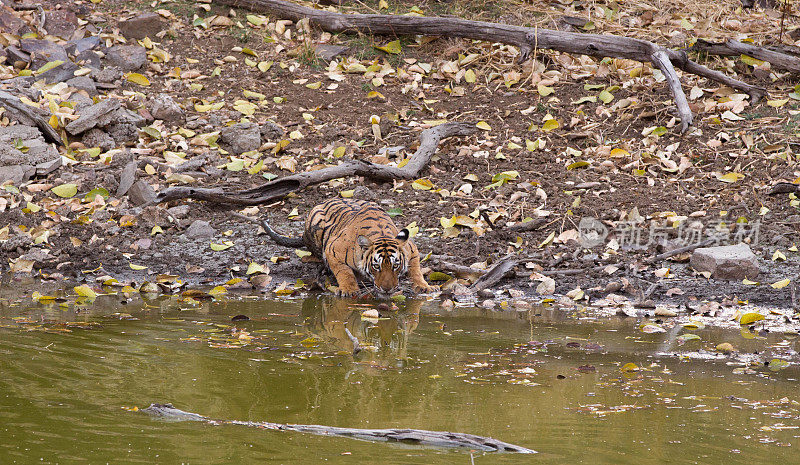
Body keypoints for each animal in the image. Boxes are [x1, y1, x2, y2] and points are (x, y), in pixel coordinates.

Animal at [260, 198, 438, 296]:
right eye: (376, 267)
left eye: (395, 266)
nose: (387, 289)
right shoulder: (332, 250)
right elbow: (344, 272)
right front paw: (350, 289)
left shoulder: (411, 249)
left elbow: (416, 270)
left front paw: (425, 287)